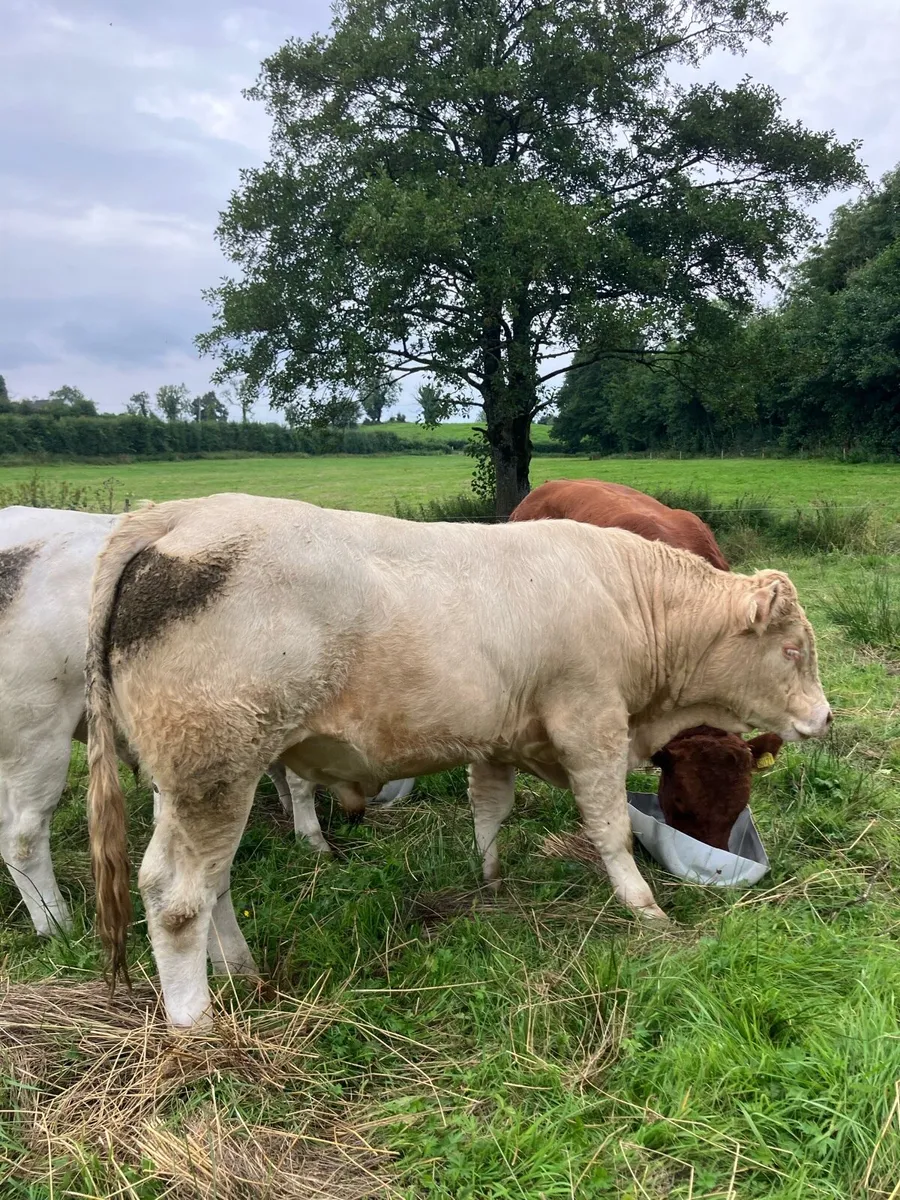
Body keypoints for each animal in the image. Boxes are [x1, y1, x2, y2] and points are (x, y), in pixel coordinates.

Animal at [84, 493, 830, 1028]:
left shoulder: (499, 736)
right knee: (176, 898)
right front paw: (647, 911)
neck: (628, 597)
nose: (825, 716)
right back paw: (197, 1027)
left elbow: (490, 811)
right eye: (793, 648)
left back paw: (242, 972)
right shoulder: (591, 724)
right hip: (214, 772)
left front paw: (492, 884)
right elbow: (612, 828)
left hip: (191, 782)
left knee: (209, 883)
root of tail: (176, 515)